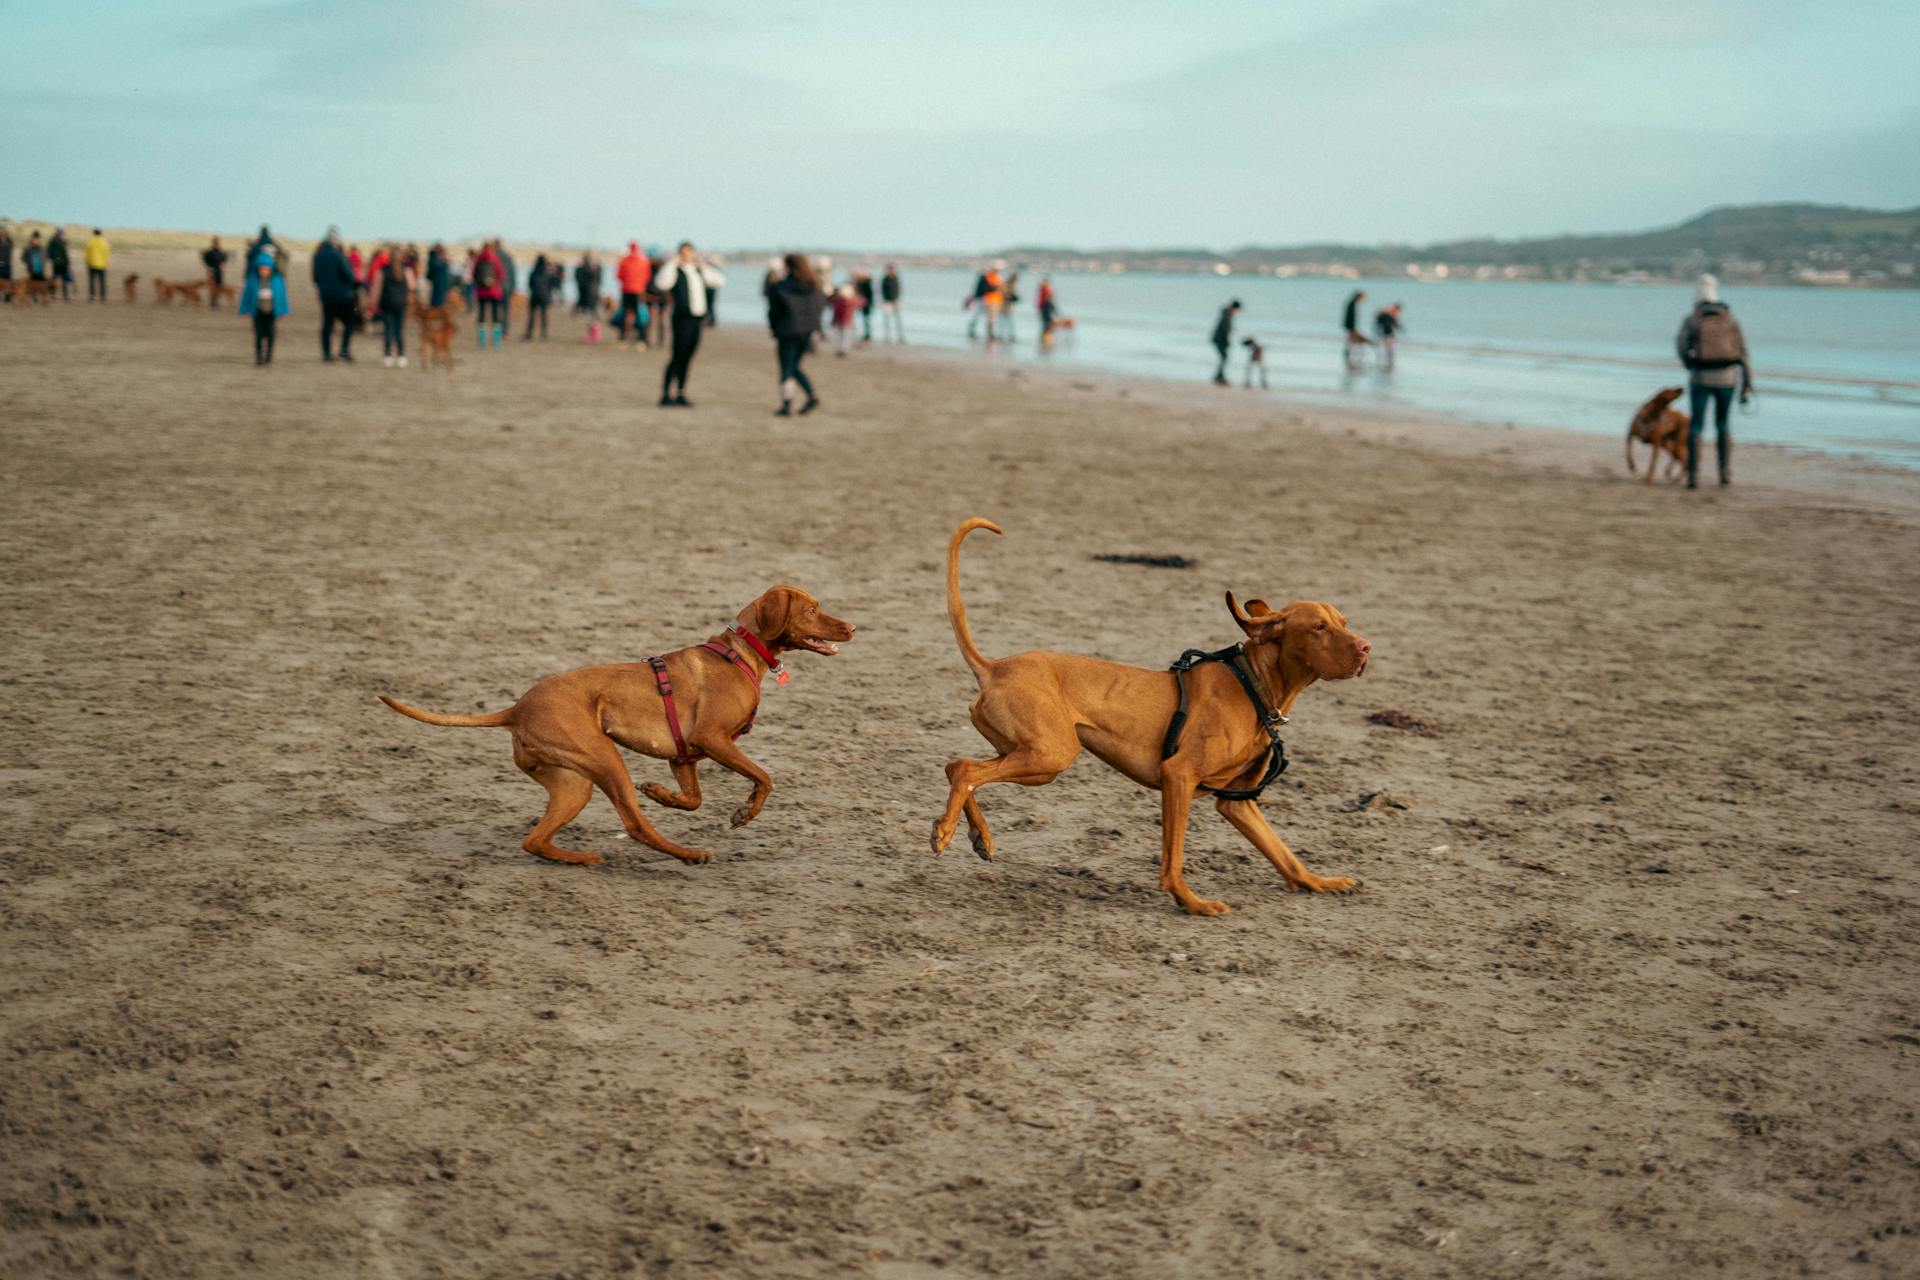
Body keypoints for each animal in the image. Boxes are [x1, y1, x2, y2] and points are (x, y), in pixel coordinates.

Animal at [376, 591, 856, 871]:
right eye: (812, 610)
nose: (852, 626)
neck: (740, 653)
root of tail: (516, 709)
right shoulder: (711, 739)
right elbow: (765, 778)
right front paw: (745, 813)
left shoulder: (682, 753)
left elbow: (694, 799)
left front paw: (661, 793)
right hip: (605, 760)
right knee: (636, 825)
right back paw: (689, 855)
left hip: (574, 784)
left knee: (534, 840)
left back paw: (578, 857)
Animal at [936, 514, 1374, 917]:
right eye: (1318, 627)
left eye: (1343, 622)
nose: (1367, 648)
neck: (1252, 682)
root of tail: (994, 667)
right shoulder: (1178, 776)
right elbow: (1172, 859)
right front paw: (1191, 901)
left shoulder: (1237, 803)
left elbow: (1284, 854)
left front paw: (1320, 881)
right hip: (1051, 755)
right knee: (965, 771)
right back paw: (946, 831)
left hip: (1033, 759)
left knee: (958, 767)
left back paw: (979, 836)